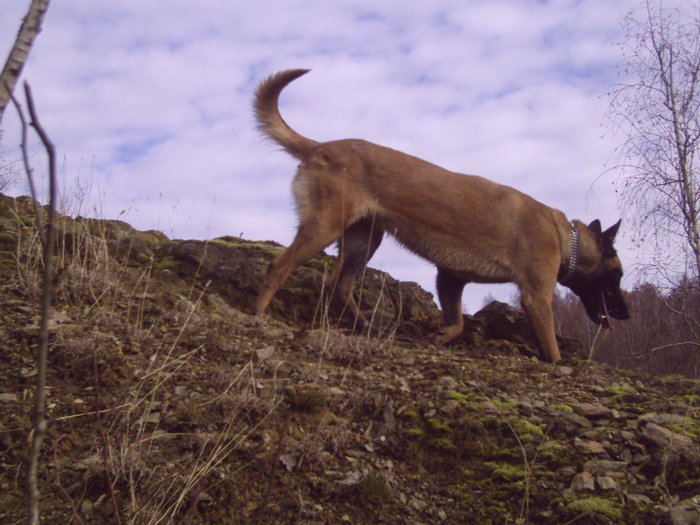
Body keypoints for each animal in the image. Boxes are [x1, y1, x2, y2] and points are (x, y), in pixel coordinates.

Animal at [252, 69, 628, 362]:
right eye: (617, 275)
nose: (626, 314)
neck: (567, 238)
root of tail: (319, 146)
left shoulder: (450, 278)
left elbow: (458, 322)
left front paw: (440, 337)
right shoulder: (536, 297)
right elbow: (551, 348)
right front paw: (557, 363)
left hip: (364, 240)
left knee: (339, 286)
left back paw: (368, 327)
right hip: (324, 227)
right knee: (278, 267)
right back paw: (259, 314)